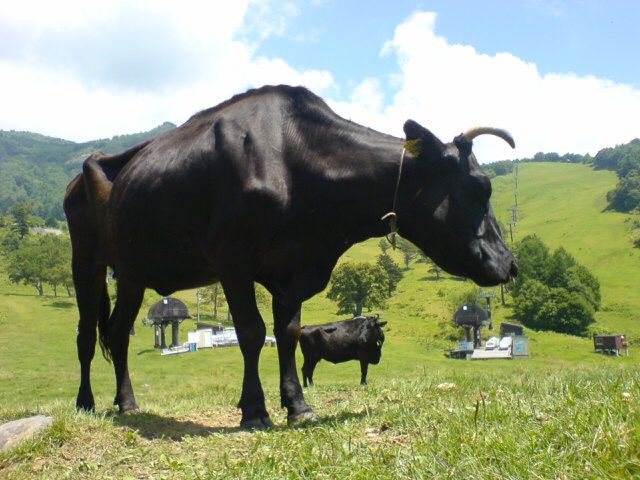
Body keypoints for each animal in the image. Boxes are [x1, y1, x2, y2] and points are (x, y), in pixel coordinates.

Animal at [62, 84, 516, 430]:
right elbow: (250, 332)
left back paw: (127, 402)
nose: (511, 264)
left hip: (132, 272)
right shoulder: (232, 260)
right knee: (86, 334)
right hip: (85, 259)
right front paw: (254, 410)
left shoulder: (291, 270)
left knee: (118, 332)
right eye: (481, 187)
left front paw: (297, 406)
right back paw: (85, 402)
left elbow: (289, 333)